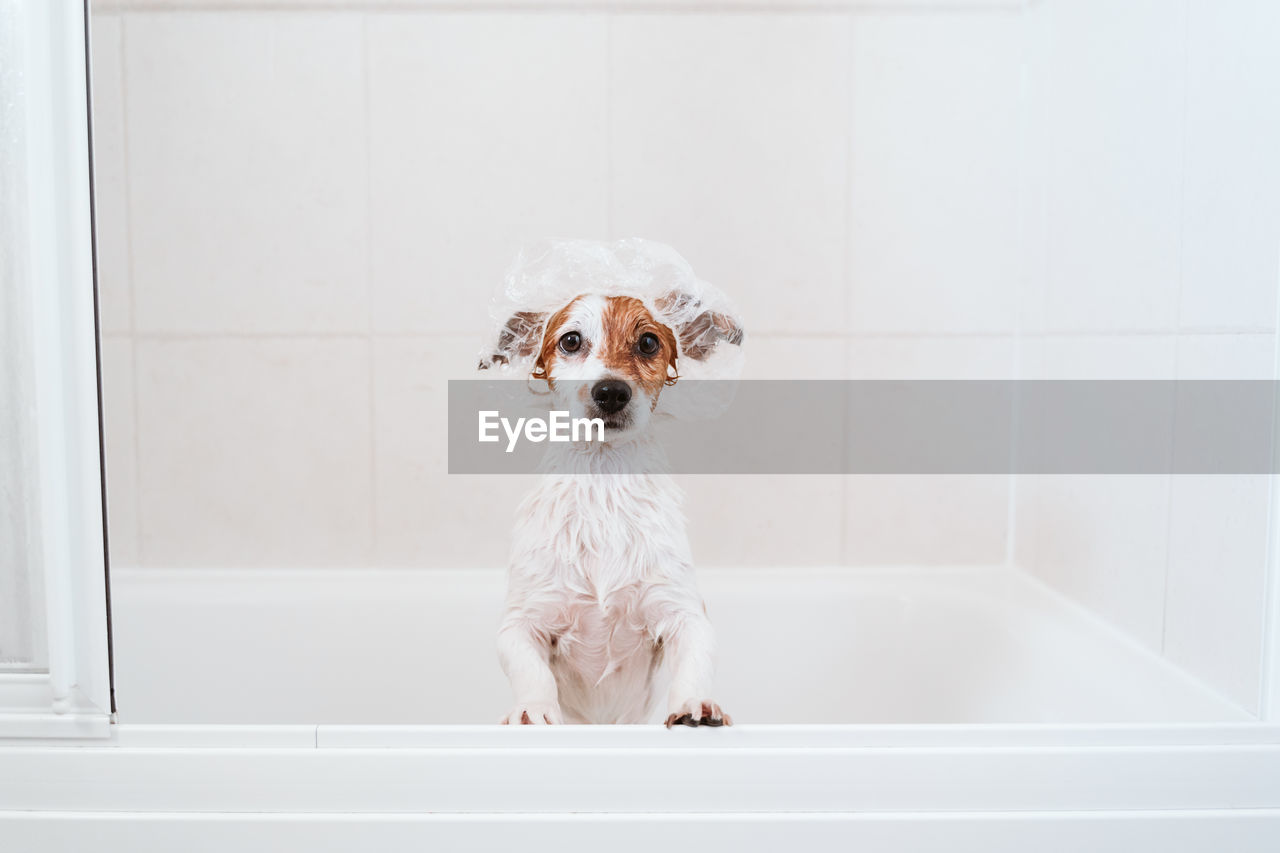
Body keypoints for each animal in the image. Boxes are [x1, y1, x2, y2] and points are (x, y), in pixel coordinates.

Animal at [481, 280, 742, 722]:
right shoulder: (522, 622)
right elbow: (532, 673)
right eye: (570, 340)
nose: (611, 391)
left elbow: (694, 663)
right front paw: (533, 710)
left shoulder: (684, 613)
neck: (602, 483)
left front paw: (693, 705)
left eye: (648, 342)